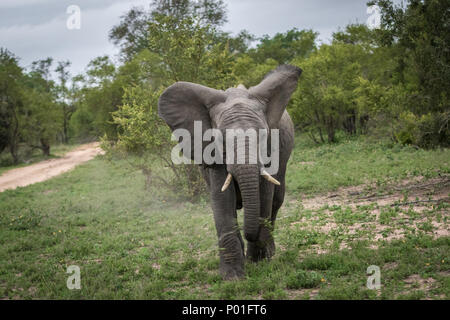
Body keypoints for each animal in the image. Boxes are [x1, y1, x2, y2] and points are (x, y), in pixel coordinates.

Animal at [158, 65, 302, 280]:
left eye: (263, 136)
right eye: (221, 140)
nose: (250, 235)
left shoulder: (271, 149)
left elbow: (264, 195)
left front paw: (258, 262)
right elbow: (222, 200)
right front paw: (233, 277)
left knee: (277, 199)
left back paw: (270, 251)